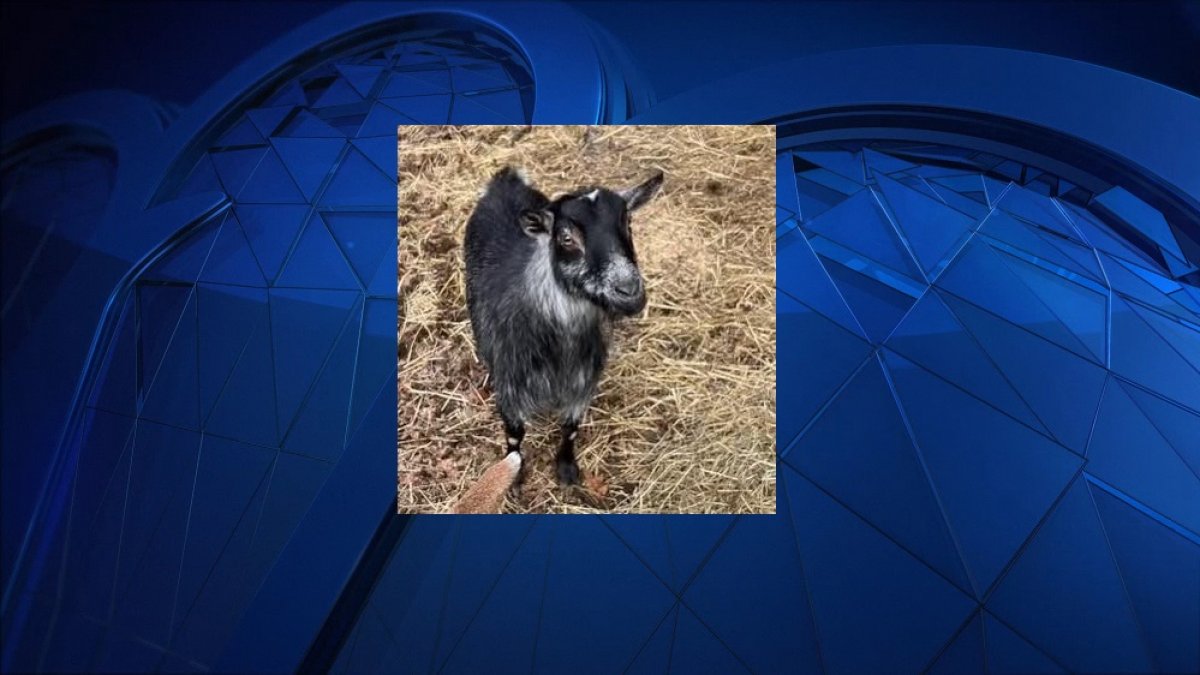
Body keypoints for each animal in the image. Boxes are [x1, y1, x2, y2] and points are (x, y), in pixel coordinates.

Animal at [464, 165, 663, 489]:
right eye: (566, 238)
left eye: (629, 222)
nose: (629, 291)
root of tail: (505, 179)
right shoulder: (509, 389)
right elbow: (514, 436)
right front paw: (513, 477)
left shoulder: (582, 384)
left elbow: (571, 427)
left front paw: (567, 469)